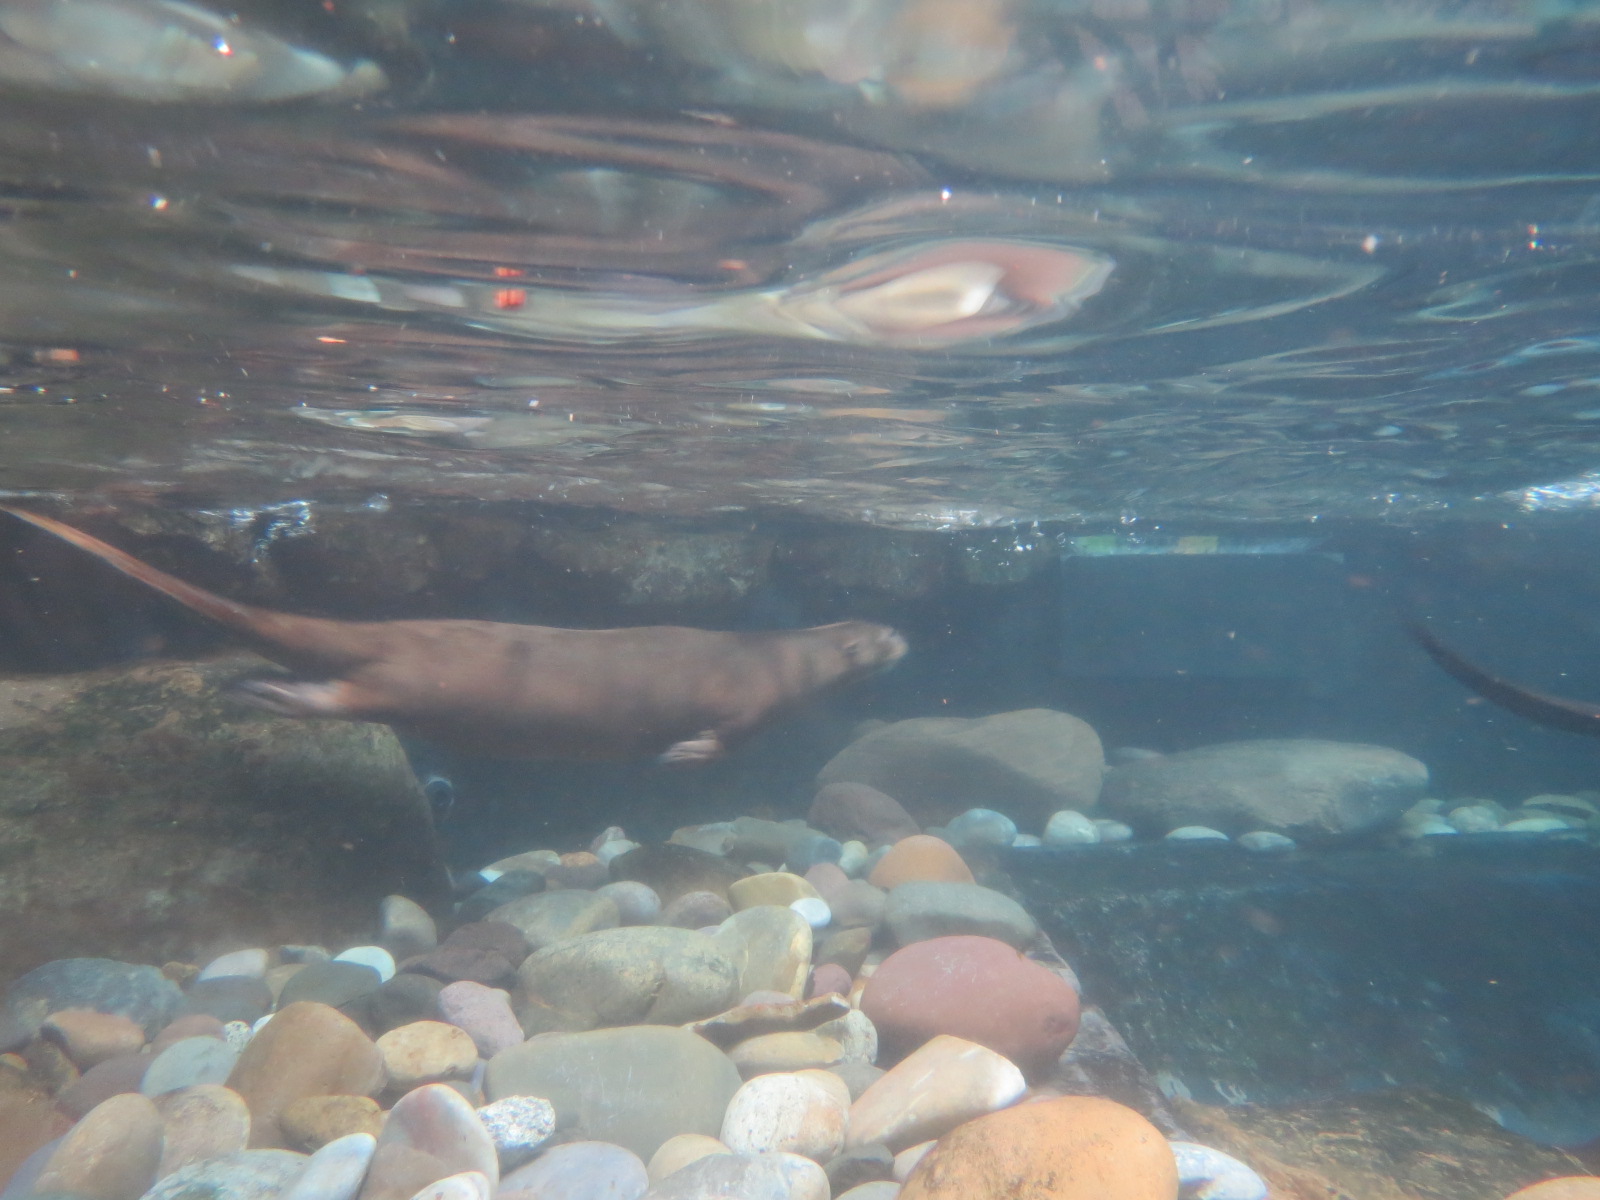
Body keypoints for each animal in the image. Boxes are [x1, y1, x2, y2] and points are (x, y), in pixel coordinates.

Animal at [4, 507, 908, 762]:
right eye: (875, 639)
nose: (906, 639)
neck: (791, 656)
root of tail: (381, 635)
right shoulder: (752, 700)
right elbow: (724, 736)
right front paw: (682, 754)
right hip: (406, 684)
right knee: (341, 696)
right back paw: (259, 691)